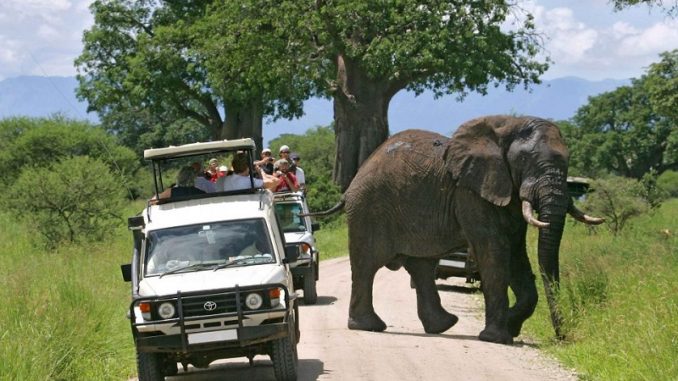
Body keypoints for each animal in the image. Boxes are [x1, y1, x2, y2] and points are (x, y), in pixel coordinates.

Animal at [310, 114, 604, 342]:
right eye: (524, 161)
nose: (562, 337)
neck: (507, 126)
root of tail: (352, 182)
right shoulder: (470, 193)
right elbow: (494, 251)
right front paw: (497, 338)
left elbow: (516, 254)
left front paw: (511, 326)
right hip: (369, 209)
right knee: (367, 264)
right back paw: (369, 327)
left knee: (421, 266)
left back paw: (443, 326)